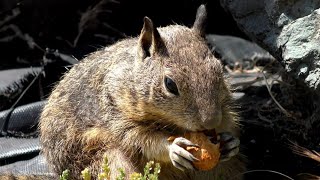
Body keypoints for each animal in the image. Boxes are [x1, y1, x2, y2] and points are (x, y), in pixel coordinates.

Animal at [39, 4, 245, 180]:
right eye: (169, 84)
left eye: (219, 69)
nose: (210, 122)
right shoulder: (117, 114)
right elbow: (141, 140)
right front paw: (173, 148)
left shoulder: (225, 109)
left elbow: (229, 121)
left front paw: (231, 141)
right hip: (106, 159)